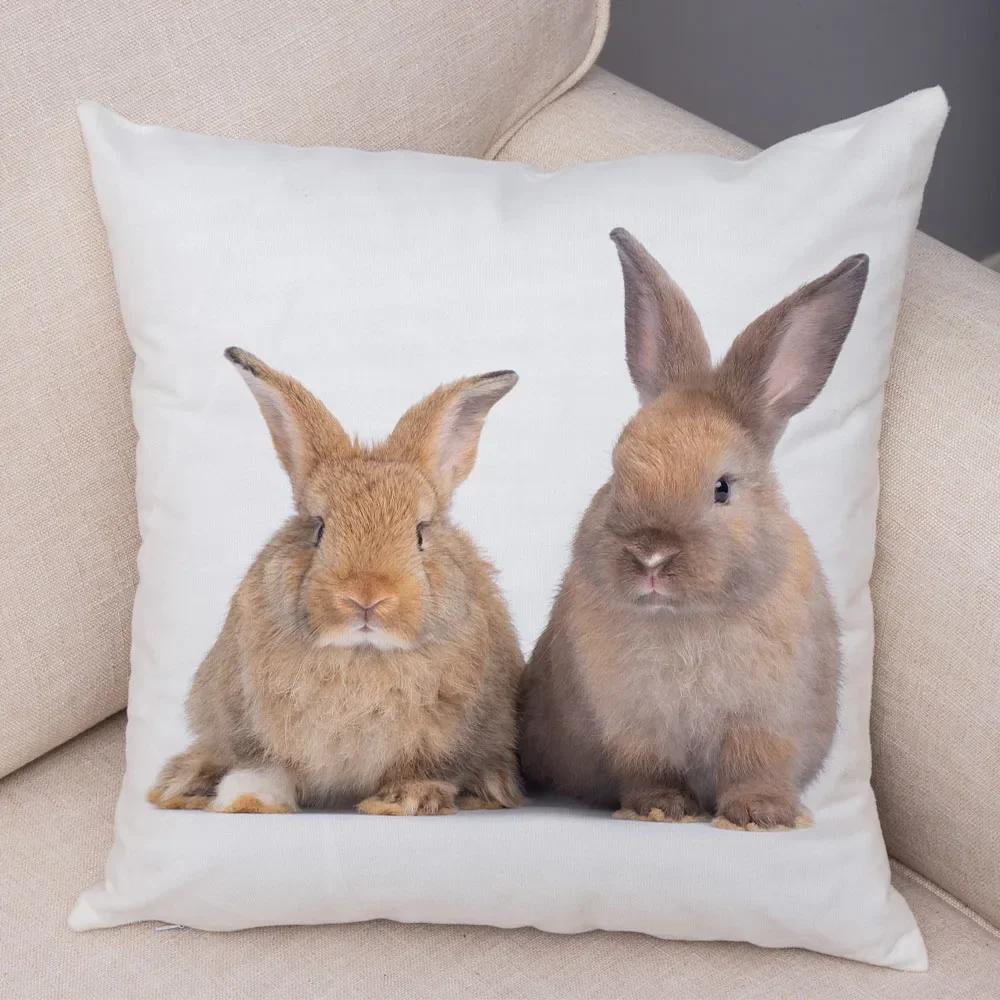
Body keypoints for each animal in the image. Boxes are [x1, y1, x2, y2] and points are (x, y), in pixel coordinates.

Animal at [149, 348, 524, 816]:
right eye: (319, 528)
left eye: (421, 532)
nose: (366, 596)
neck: (361, 655)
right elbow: (267, 766)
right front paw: (247, 800)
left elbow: (429, 770)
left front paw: (402, 801)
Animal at [518, 229, 868, 830]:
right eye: (617, 472)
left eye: (722, 488)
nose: (651, 557)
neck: (684, 617)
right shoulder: (636, 725)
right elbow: (649, 769)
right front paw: (661, 809)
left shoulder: (767, 719)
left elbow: (757, 764)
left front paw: (761, 815)